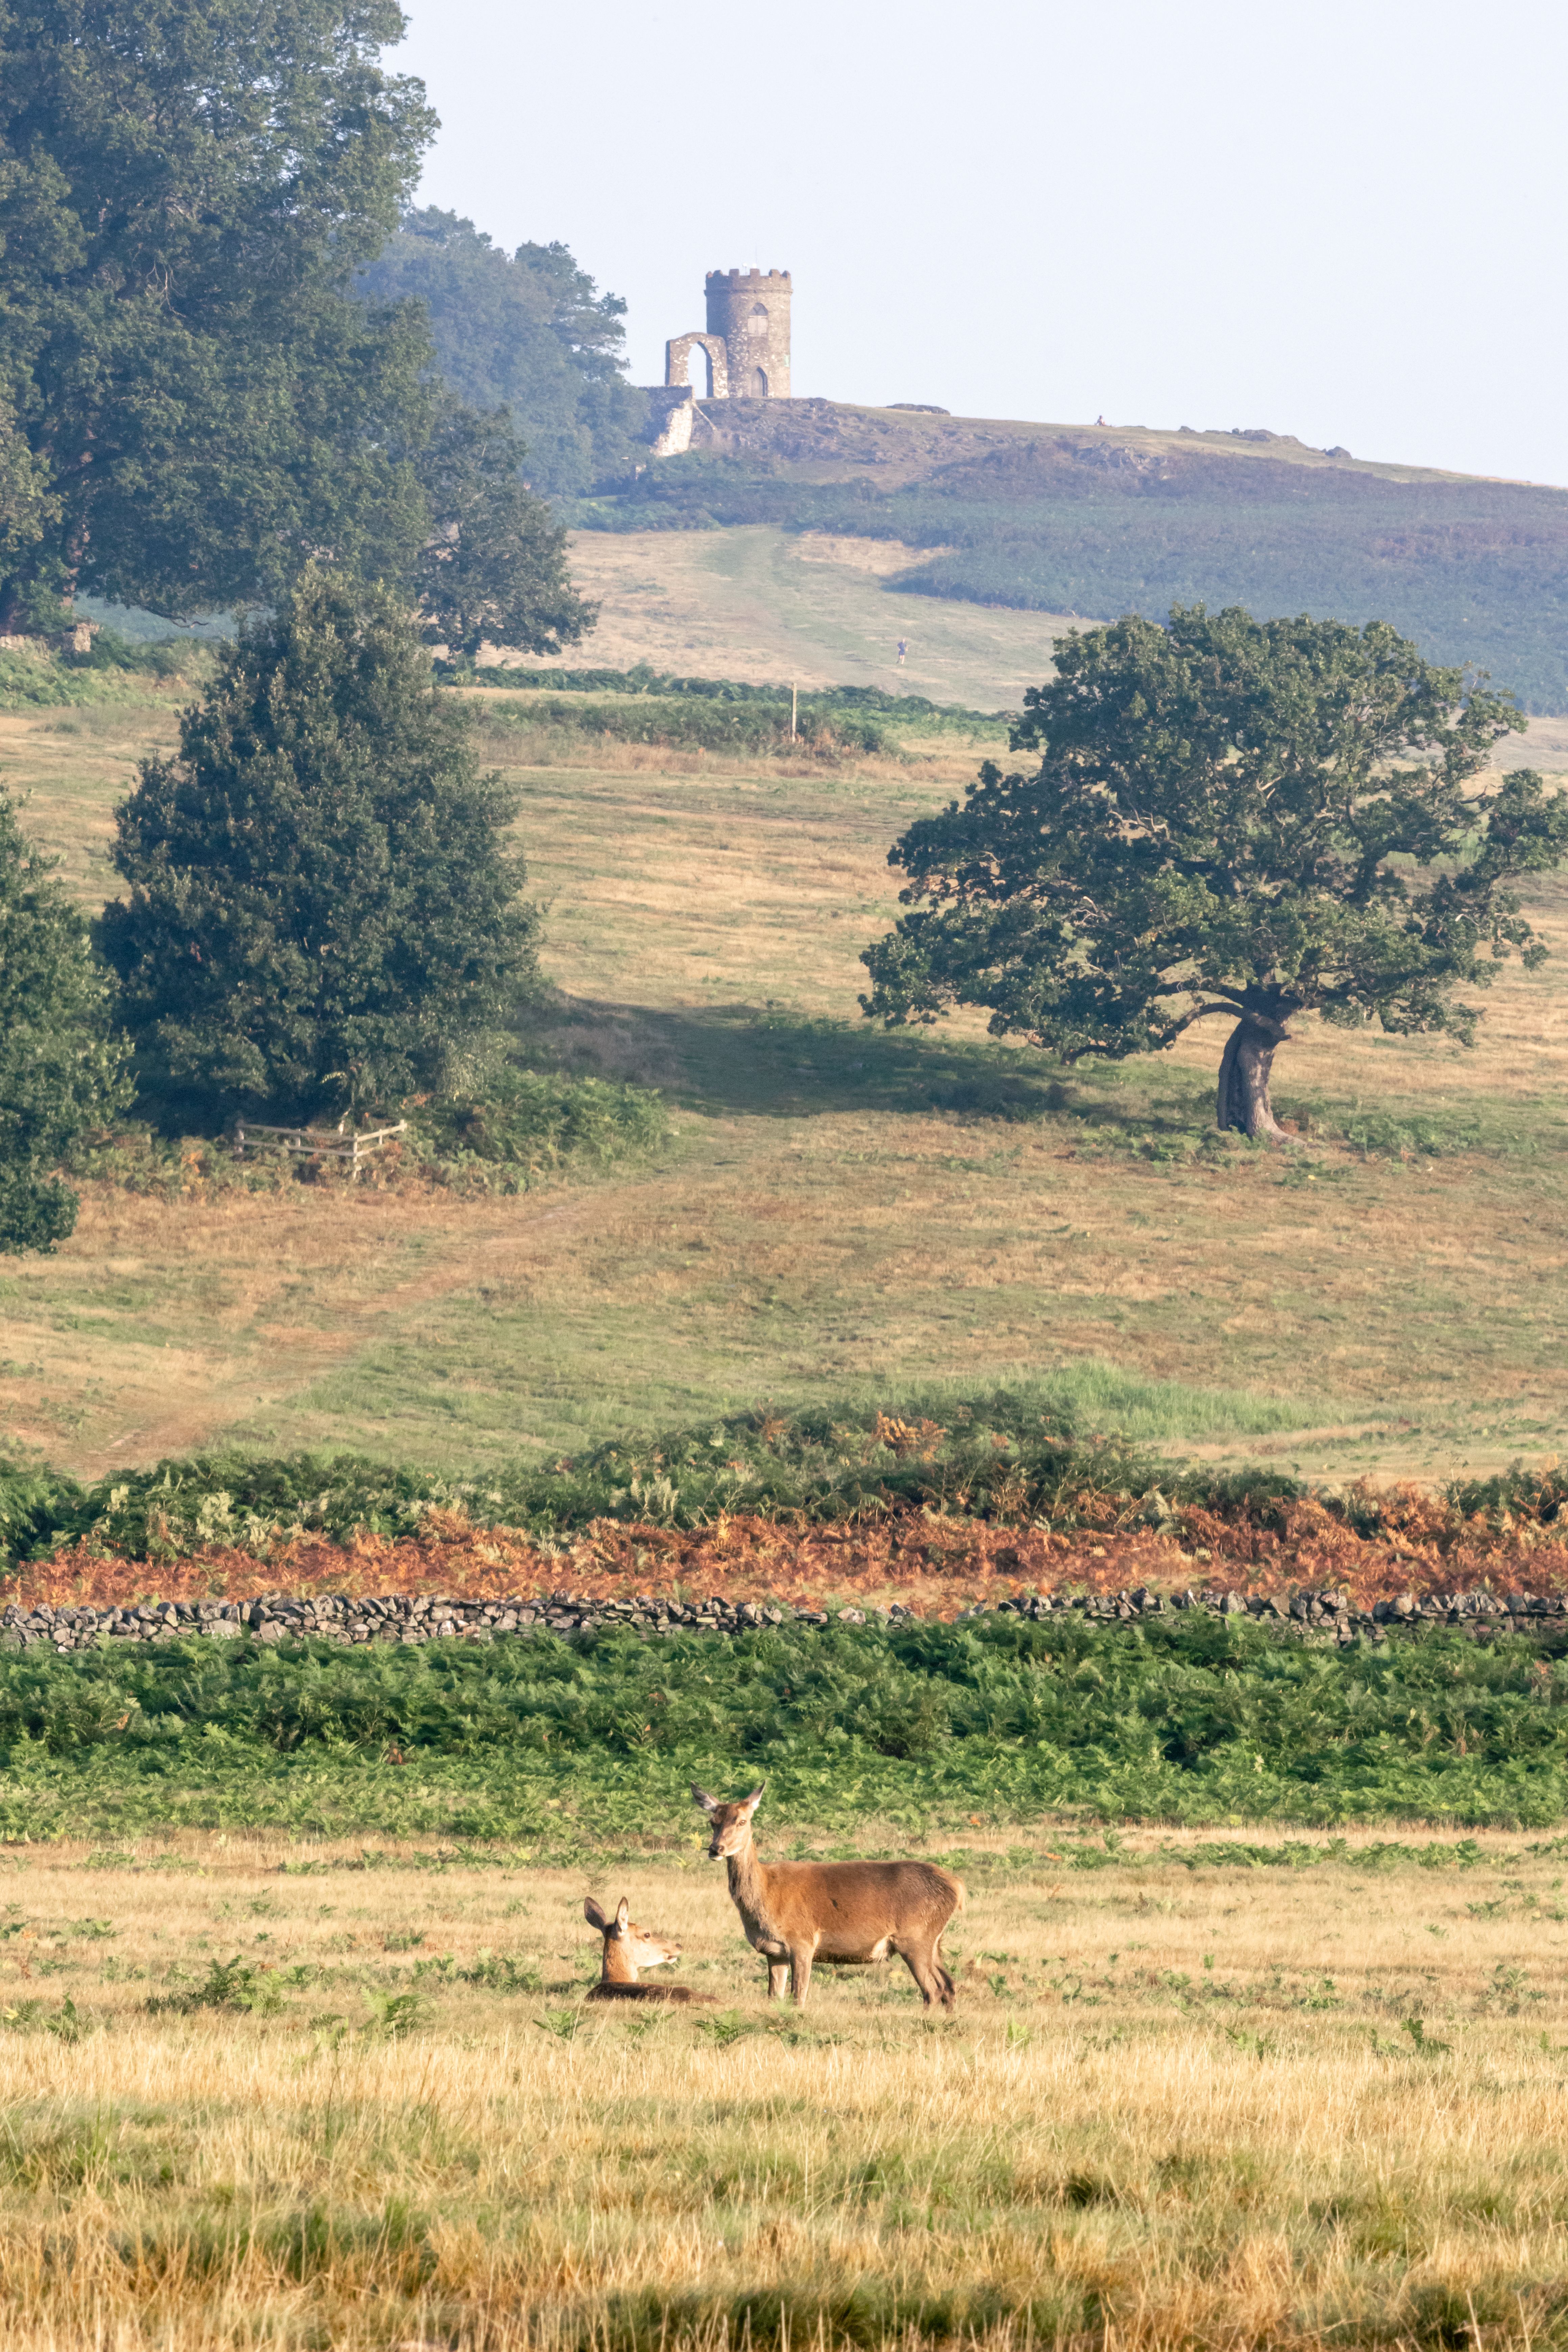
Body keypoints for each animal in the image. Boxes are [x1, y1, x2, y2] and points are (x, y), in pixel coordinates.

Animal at [692, 1783, 965, 2010]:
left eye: (742, 1821)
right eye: (712, 1821)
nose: (716, 1849)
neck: (766, 1895)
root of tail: (957, 1886)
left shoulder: (803, 1941)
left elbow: (798, 1997)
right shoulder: (774, 1952)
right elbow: (774, 1997)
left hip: (915, 1937)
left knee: (933, 1990)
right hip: (933, 1941)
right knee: (949, 1986)